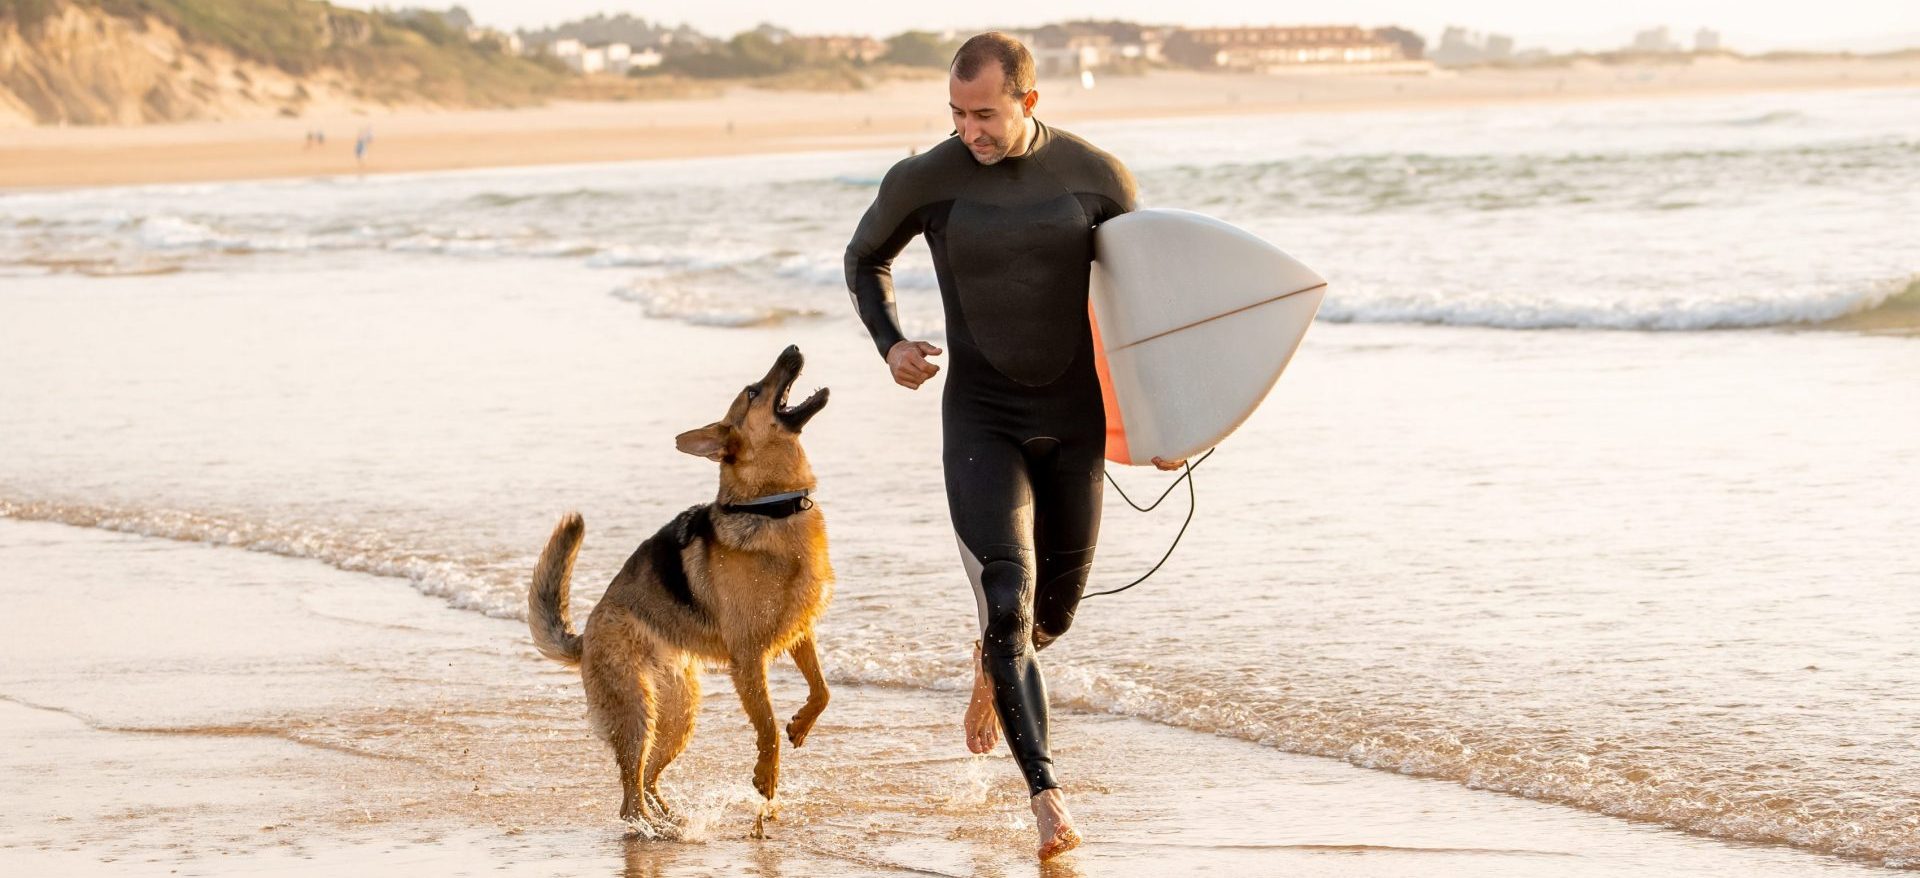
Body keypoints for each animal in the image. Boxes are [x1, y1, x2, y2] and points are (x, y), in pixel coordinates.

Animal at [529, 345, 829, 829]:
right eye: (753, 392)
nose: (793, 348)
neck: (770, 508)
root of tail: (586, 635)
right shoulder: (749, 659)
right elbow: (766, 725)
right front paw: (766, 777)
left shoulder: (799, 632)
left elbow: (822, 690)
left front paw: (800, 724)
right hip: (637, 713)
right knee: (630, 794)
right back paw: (650, 828)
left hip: (679, 714)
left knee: (649, 778)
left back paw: (671, 821)